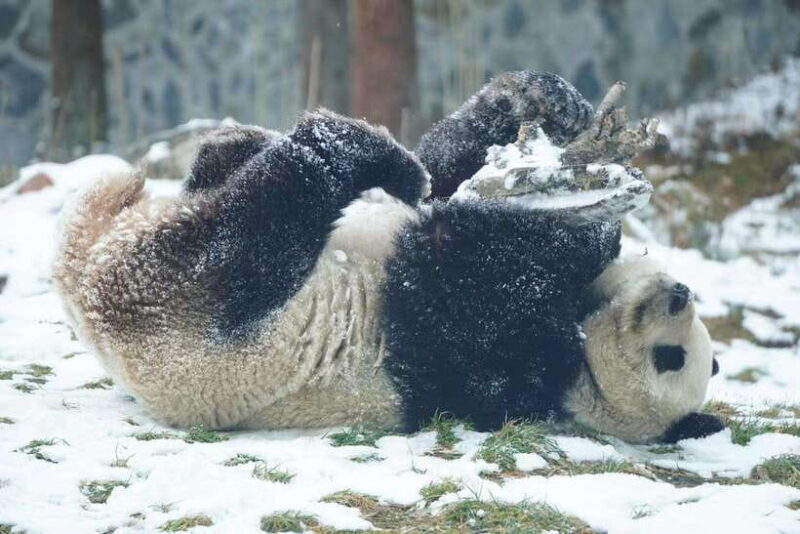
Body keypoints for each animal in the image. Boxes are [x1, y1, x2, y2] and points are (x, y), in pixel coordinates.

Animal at [54, 71, 723, 444]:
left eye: (671, 358)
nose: (678, 294)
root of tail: (82, 275)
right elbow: (449, 177)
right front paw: (538, 107)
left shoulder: (484, 366)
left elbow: (470, 277)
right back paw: (247, 143)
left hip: (197, 314)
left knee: (270, 214)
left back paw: (357, 149)